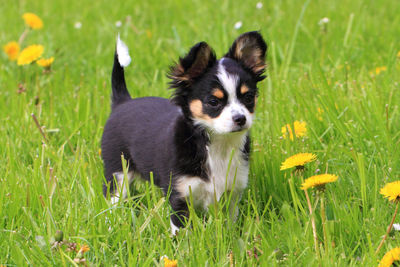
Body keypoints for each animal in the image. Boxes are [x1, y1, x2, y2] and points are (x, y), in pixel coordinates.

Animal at [101, 31, 268, 236]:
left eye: (248, 97)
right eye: (213, 102)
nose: (240, 118)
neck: (218, 145)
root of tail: (123, 102)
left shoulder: (232, 192)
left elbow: (230, 224)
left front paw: (231, 238)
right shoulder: (180, 195)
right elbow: (182, 231)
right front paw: (184, 245)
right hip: (117, 173)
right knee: (113, 201)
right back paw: (111, 225)